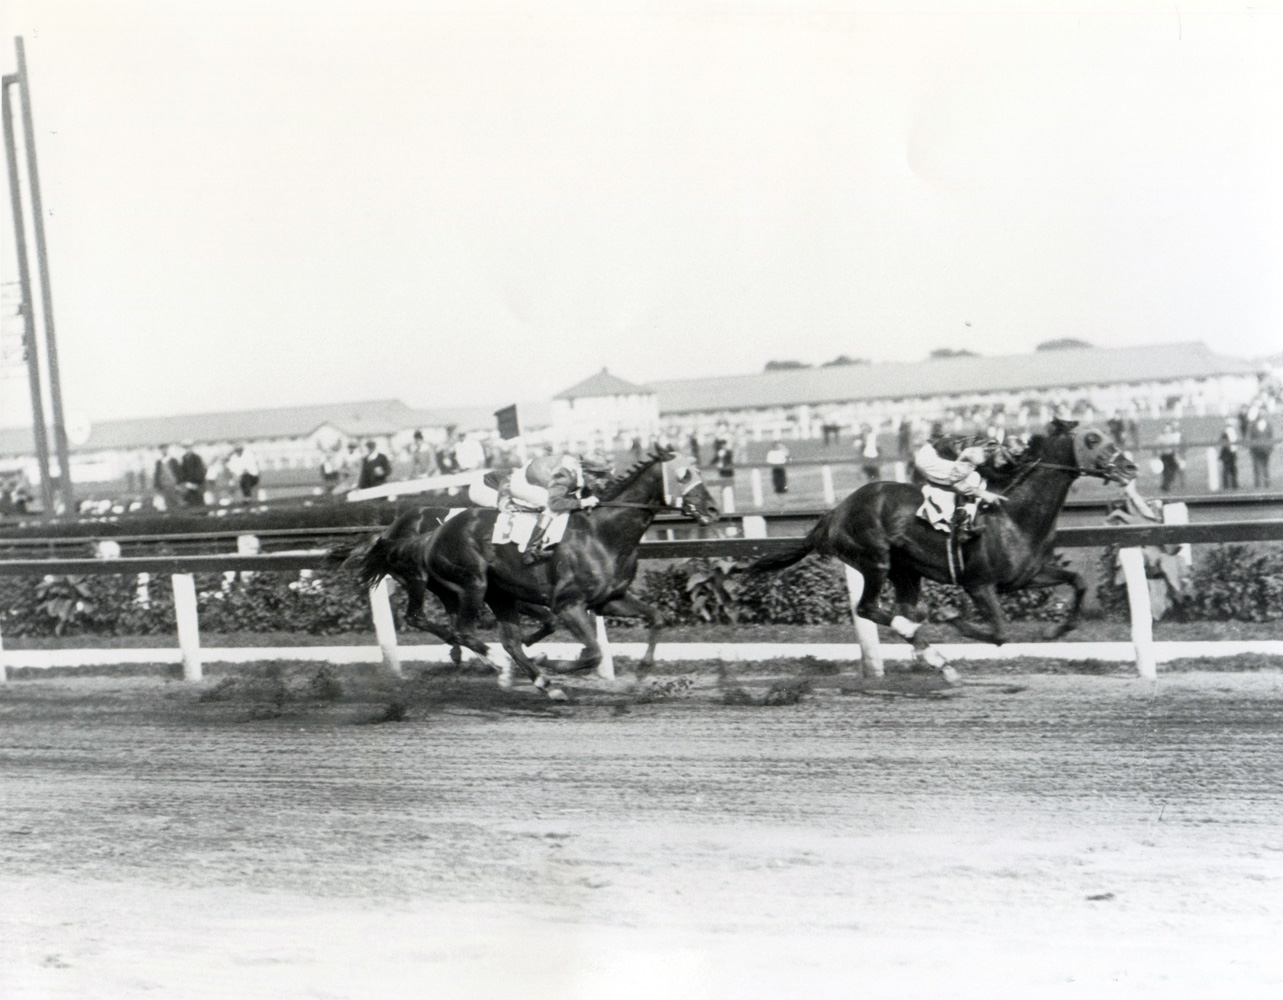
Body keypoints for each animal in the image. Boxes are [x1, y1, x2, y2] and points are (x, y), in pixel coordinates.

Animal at [351, 449, 723, 698]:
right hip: (470, 584)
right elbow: (594, 651)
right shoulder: (569, 604)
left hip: (498, 593)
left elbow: (656, 618)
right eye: (684, 474)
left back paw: (536, 678)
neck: (603, 532)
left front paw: (641, 674)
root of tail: (430, 534)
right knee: (460, 629)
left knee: (507, 640)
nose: (713, 509)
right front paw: (554, 663)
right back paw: (501, 665)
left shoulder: (610, 600)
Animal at [749, 421, 1139, 682]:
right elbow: (1000, 632)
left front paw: (1058, 630)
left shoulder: (1027, 576)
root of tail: (834, 512)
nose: (1130, 466)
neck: (1014, 514)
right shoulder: (979, 584)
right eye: (1092, 438)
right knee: (869, 608)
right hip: (874, 561)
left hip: (906, 570)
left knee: (903, 610)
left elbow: (1078, 581)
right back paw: (933, 652)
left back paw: (929, 651)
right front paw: (957, 619)